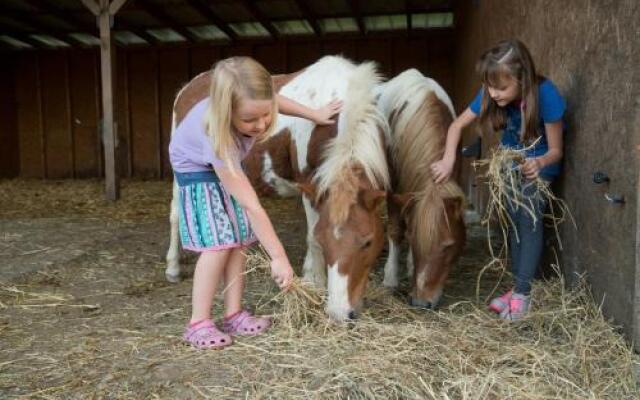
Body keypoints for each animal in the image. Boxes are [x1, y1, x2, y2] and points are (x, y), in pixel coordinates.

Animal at [165, 55, 388, 322]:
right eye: (324, 242)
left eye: (368, 242)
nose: (340, 313)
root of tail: (188, 88)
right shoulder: (309, 186)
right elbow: (311, 235)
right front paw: (315, 281)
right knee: (176, 214)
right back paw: (173, 267)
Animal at [378, 69, 468, 308]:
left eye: (448, 246)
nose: (421, 302)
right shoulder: (393, 191)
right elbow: (396, 230)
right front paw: (390, 277)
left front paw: (410, 266)